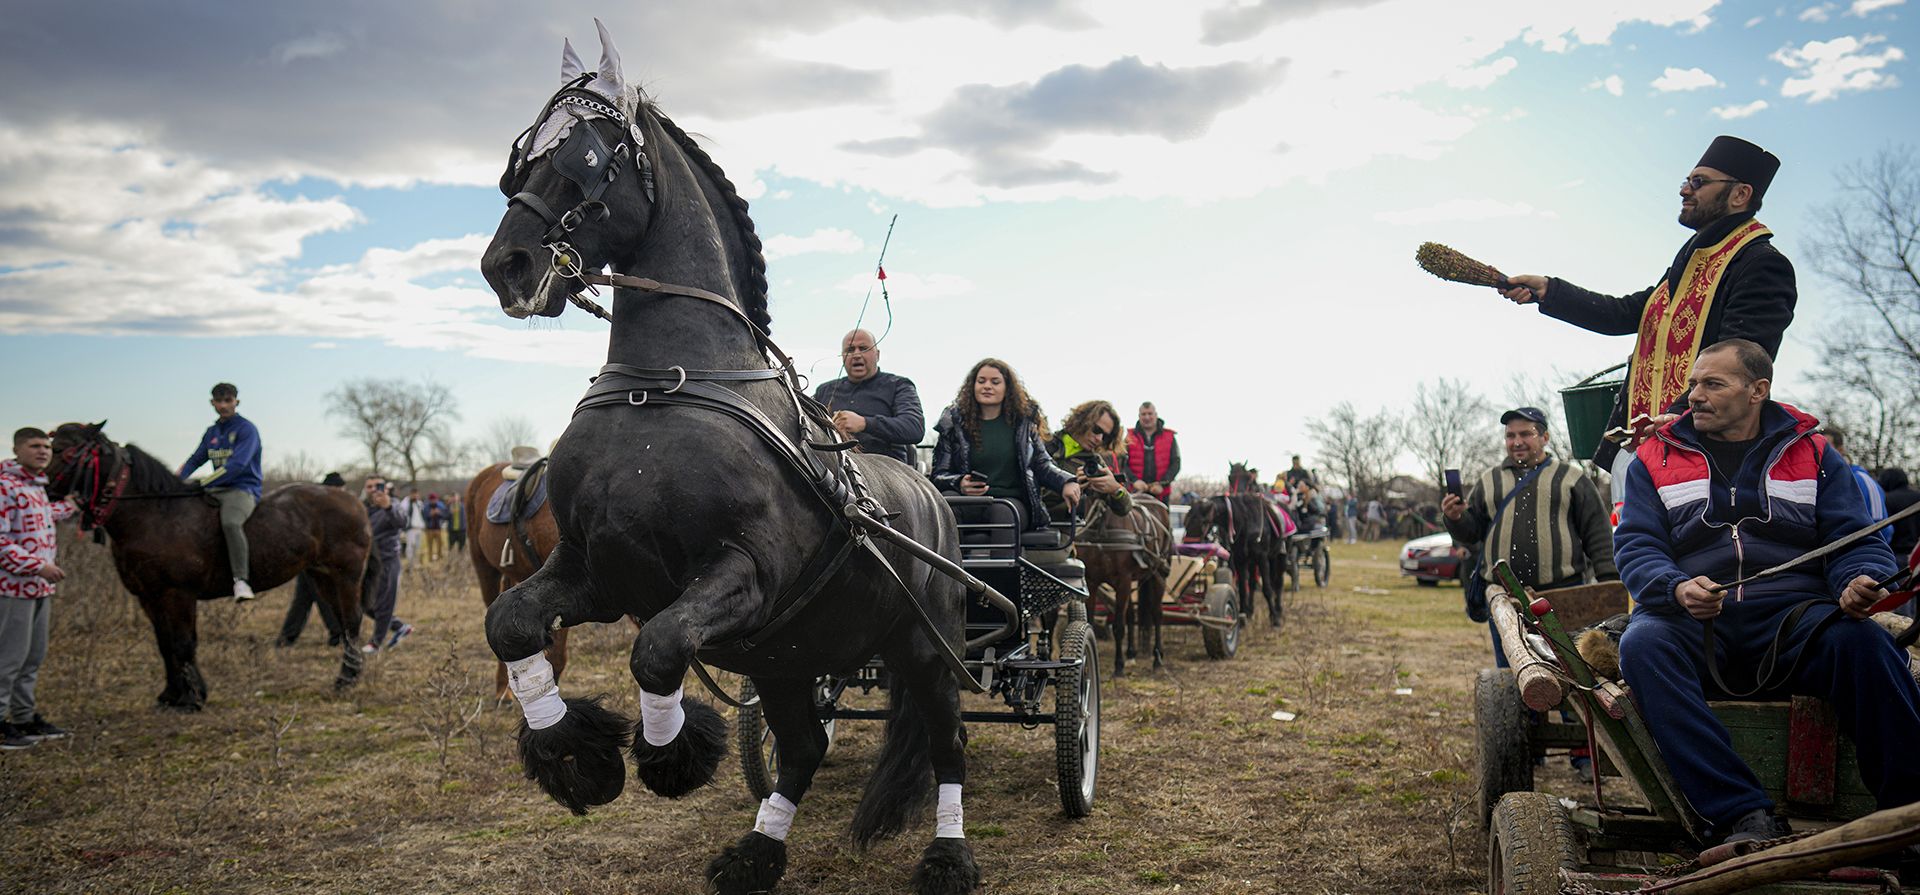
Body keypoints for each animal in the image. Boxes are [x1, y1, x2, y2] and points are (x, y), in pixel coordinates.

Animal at [44, 422, 373, 710]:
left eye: (62, 449)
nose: (43, 486)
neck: (155, 515)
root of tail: (353, 500)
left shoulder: (178, 594)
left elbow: (183, 643)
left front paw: (192, 698)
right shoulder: (149, 597)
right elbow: (165, 644)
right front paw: (170, 695)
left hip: (346, 576)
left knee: (351, 621)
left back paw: (346, 678)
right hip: (322, 577)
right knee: (343, 621)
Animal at [476, 23, 978, 894]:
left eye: (585, 153)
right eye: (522, 156)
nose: (506, 264)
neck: (663, 389)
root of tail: (933, 497)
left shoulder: (743, 571)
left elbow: (657, 648)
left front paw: (669, 751)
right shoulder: (593, 569)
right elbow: (509, 623)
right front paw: (575, 757)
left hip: (924, 647)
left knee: (945, 743)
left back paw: (947, 855)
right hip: (788, 655)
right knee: (804, 746)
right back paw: (756, 851)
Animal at [1075, 495, 1172, 676]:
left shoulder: (1123, 580)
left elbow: (1119, 627)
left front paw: (1118, 666)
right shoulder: (1091, 582)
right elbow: (1091, 622)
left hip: (1158, 574)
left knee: (1157, 613)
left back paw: (1157, 658)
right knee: (1131, 614)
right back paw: (1131, 654)